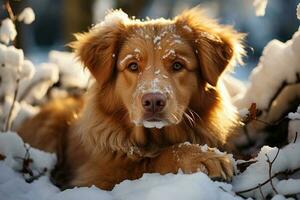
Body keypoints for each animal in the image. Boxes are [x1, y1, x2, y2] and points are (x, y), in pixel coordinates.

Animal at [17, 7, 245, 190]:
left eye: (178, 65)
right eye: (133, 66)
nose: (153, 101)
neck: (155, 137)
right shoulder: (97, 177)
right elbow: (148, 163)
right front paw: (203, 156)